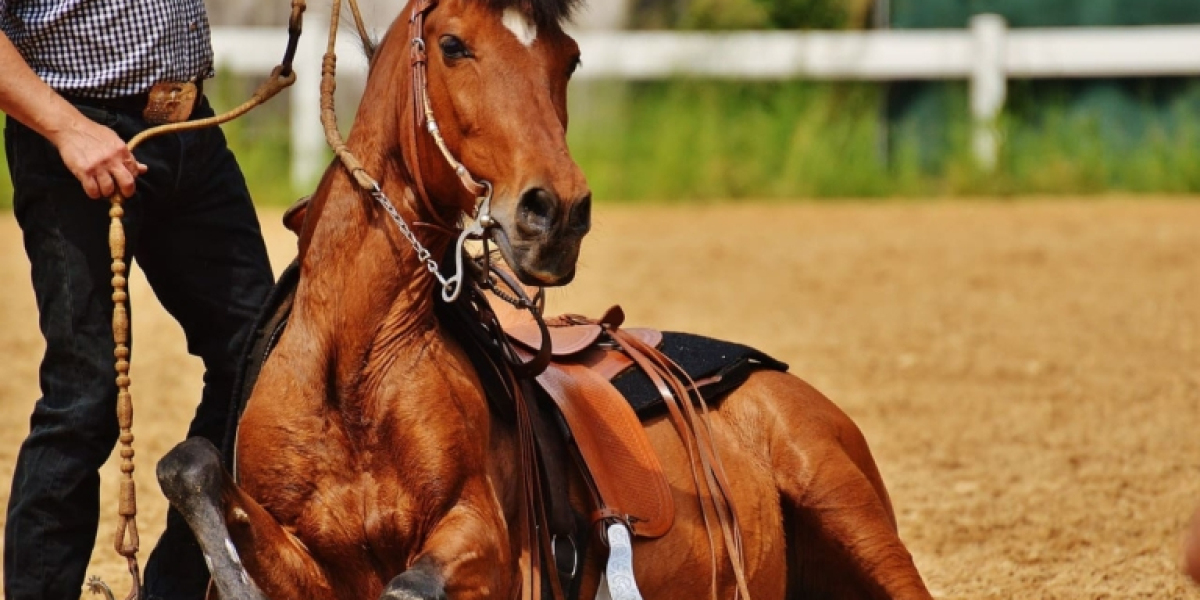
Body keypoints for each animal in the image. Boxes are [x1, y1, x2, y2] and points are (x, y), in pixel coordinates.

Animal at [156, 0, 933, 599]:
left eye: (570, 58)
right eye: (452, 45)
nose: (557, 212)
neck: (353, 375)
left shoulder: (485, 540)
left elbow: (411, 585)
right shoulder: (304, 557)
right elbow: (187, 466)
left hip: (847, 508)